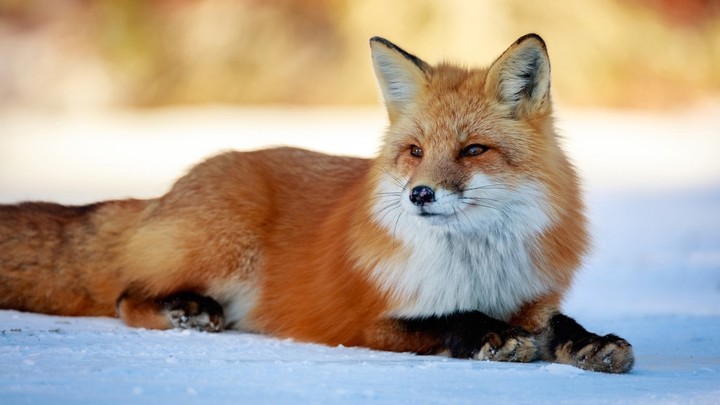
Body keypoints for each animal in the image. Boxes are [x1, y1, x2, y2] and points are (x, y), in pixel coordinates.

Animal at [0, 34, 633, 373]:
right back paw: (189, 311)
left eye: (473, 149)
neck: (477, 268)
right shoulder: (365, 320)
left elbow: (559, 325)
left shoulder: (531, 299)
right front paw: (486, 335)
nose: (420, 193)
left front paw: (594, 342)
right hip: (224, 248)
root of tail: (171, 188)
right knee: (126, 297)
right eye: (415, 151)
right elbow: (450, 319)